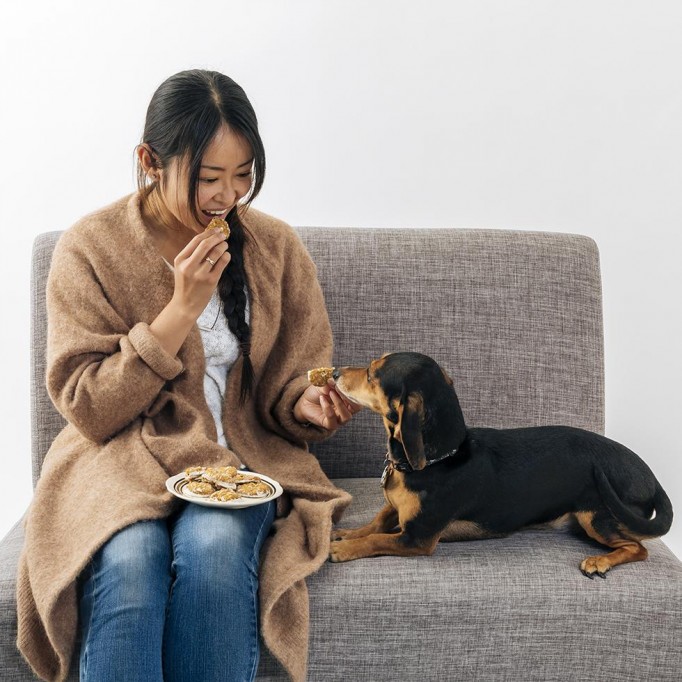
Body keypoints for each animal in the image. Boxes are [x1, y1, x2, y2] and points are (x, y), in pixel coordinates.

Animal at [328, 350, 668, 572]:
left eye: (372, 374)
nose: (333, 373)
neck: (439, 459)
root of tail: (651, 478)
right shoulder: (396, 511)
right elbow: (375, 522)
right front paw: (349, 533)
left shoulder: (417, 539)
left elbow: (377, 540)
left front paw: (344, 548)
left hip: (596, 516)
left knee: (638, 548)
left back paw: (601, 561)